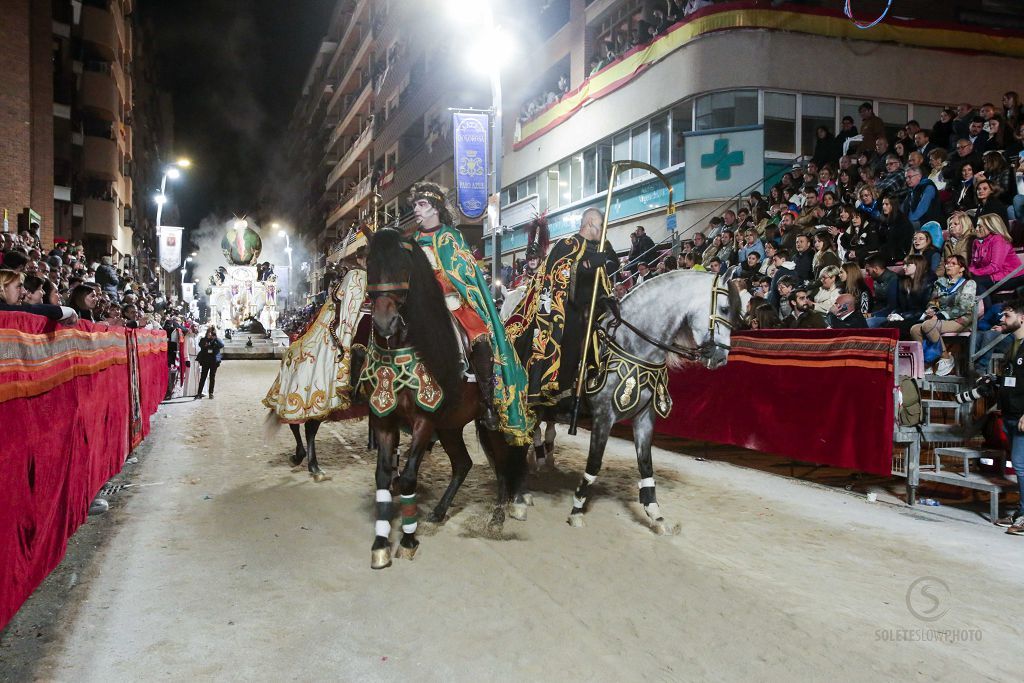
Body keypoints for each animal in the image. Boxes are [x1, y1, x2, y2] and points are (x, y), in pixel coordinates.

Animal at [362, 229, 528, 573]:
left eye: (403, 267)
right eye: (370, 265)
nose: (385, 322)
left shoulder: (424, 420)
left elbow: (408, 478)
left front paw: (408, 542)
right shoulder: (384, 419)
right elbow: (384, 477)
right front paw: (381, 545)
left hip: (493, 424)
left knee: (503, 466)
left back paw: (498, 516)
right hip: (451, 425)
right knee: (463, 464)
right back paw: (439, 511)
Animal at [569, 270, 737, 536]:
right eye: (725, 308)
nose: (721, 358)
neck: (632, 344)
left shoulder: (644, 418)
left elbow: (646, 465)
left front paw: (656, 516)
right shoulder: (603, 417)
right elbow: (594, 463)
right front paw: (576, 510)